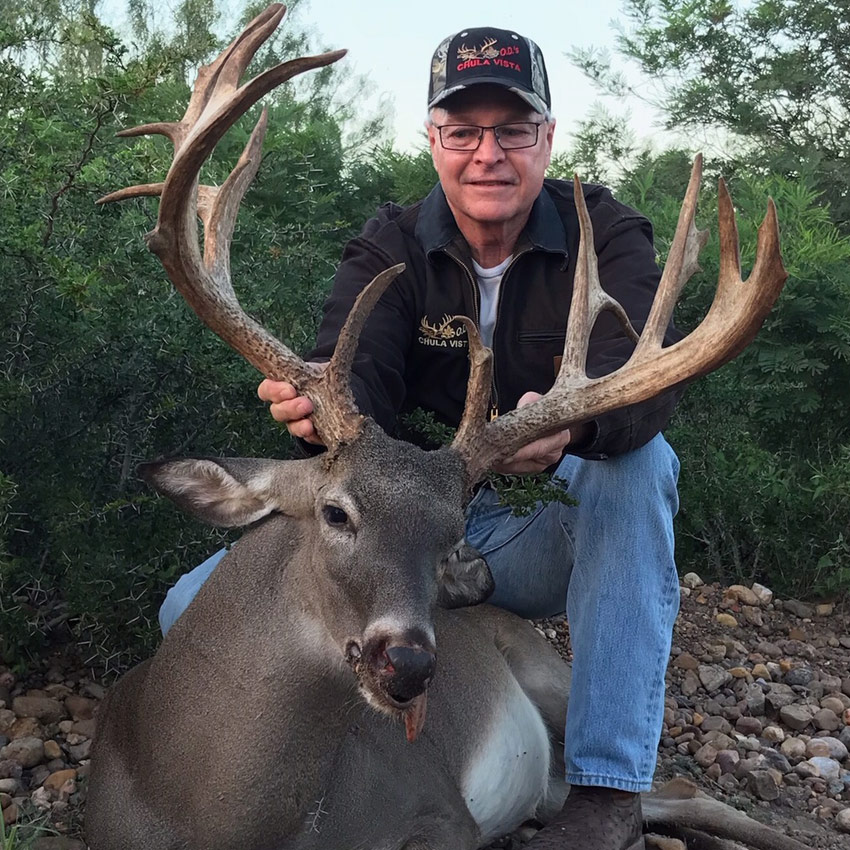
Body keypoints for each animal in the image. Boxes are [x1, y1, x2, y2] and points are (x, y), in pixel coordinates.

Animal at [85, 5, 800, 850]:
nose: (410, 666)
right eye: (336, 513)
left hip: (552, 681)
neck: (203, 807)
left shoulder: (437, 809)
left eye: (450, 533)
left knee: (676, 786)